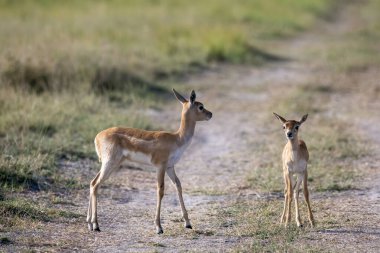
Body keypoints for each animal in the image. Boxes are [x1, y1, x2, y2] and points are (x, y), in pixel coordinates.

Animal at [87, 89, 212, 233]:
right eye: (200, 106)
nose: (210, 114)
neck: (177, 139)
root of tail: (97, 137)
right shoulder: (160, 166)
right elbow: (160, 190)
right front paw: (159, 227)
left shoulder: (170, 167)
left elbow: (178, 186)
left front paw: (188, 223)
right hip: (109, 163)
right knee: (96, 185)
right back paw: (96, 225)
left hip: (111, 164)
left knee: (92, 182)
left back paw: (89, 223)